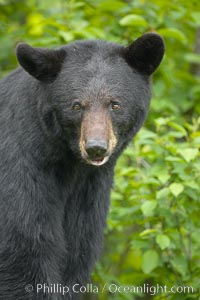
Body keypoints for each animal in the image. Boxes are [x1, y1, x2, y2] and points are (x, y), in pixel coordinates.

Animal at [0, 31, 164, 298]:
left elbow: (77, 254)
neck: (68, 163)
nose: (96, 147)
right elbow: (24, 251)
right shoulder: (19, 170)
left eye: (114, 104)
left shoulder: (89, 191)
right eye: (76, 105)